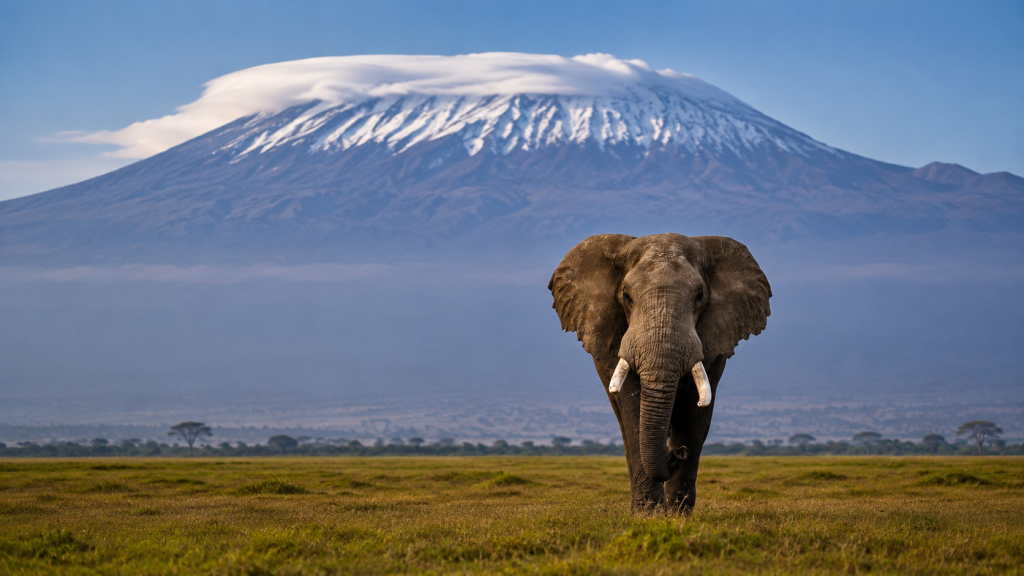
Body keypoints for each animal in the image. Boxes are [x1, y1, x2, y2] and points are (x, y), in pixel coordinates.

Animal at [548, 233, 771, 514]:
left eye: (699, 296)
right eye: (626, 296)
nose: (677, 453)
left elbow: (694, 414)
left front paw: (678, 515)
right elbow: (633, 410)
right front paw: (648, 515)